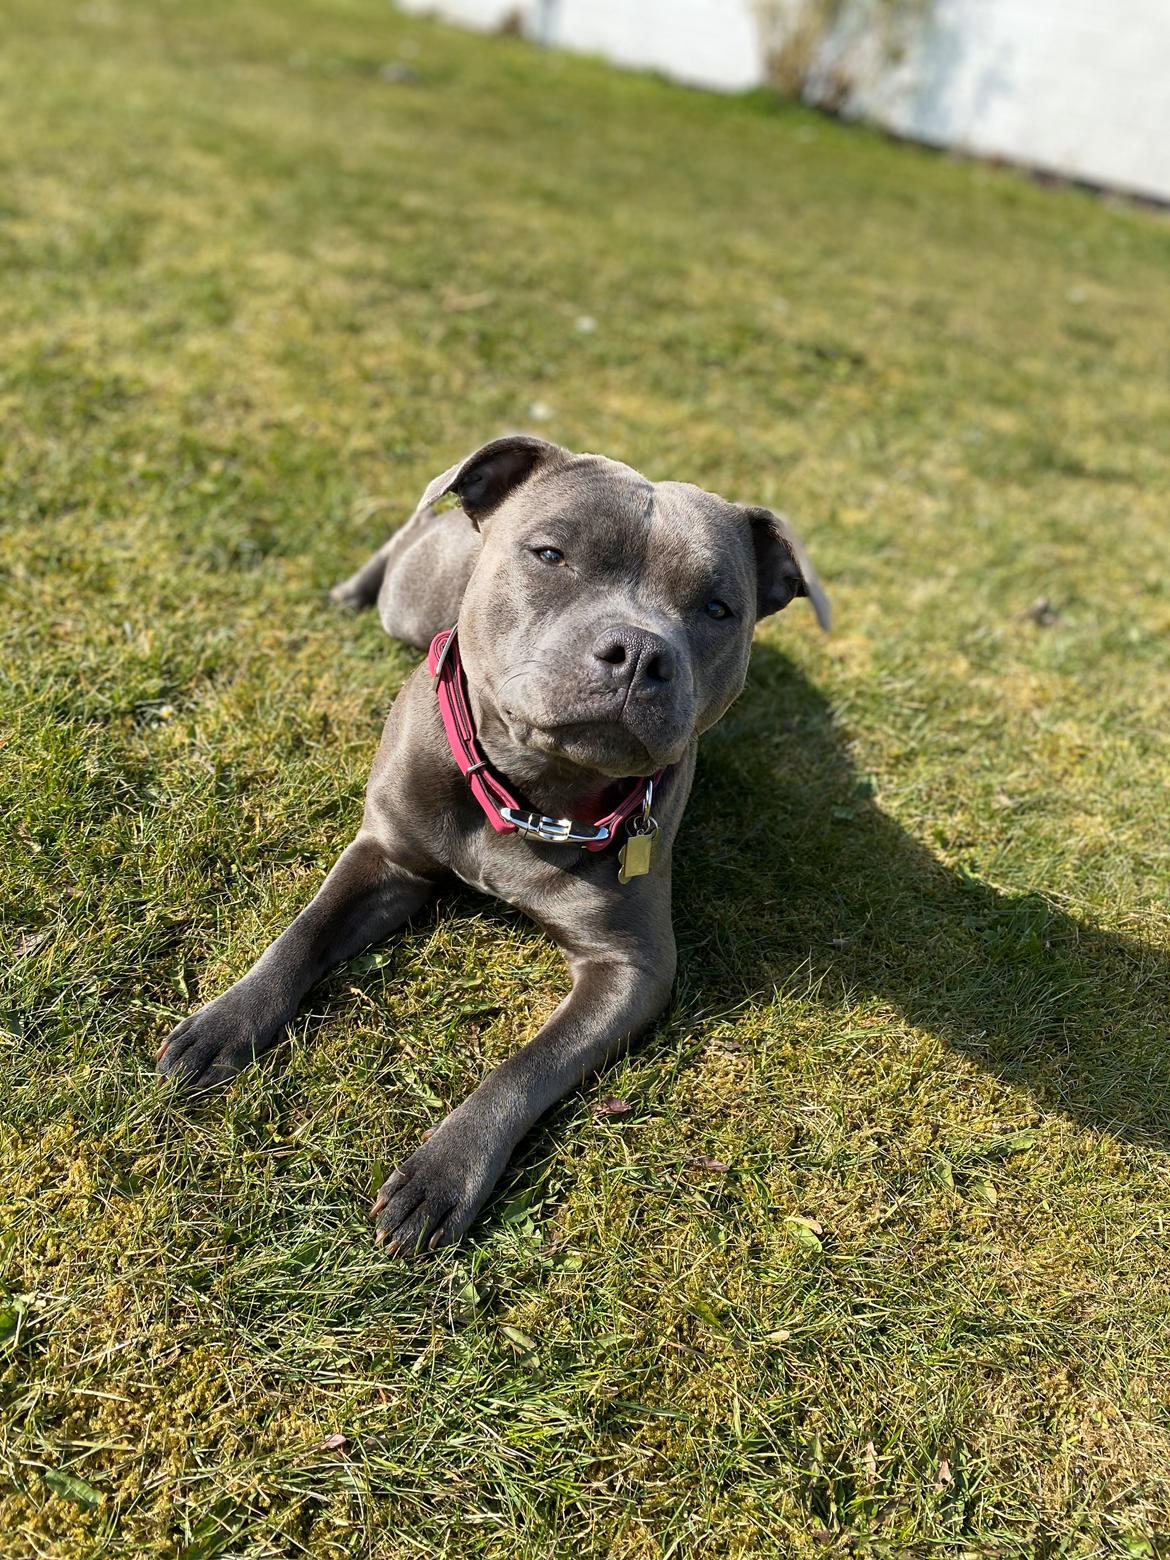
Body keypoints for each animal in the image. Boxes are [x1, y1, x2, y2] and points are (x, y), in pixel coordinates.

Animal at [158, 436, 836, 1254]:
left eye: (717, 608)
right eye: (550, 554)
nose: (640, 651)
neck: (535, 796)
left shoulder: (631, 967)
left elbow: (526, 1066)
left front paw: (443, 1172)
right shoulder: (385, 856)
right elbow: (304, 932)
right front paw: (224, 1023)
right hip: (410, 592)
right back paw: (347, 592)